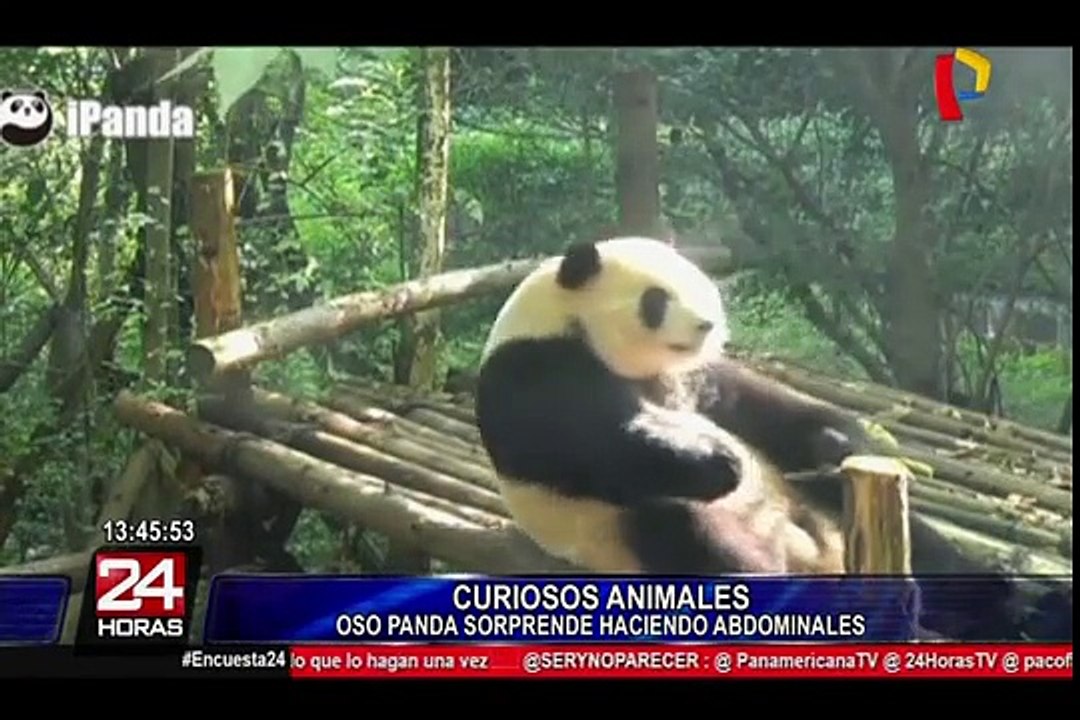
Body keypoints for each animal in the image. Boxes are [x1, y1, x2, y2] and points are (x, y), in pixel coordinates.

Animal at [474, 237, 1061, 640]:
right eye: (657, 299)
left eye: (704, 287)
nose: (707, 326)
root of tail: (817, 559)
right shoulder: (536, 367)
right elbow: (586, 445)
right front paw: (715, 461)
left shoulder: (698, 378)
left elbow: (760, 408)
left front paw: (835, 441)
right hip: (627, 533)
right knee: (686, 526)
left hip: (821, 506)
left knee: (927, 544)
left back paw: (1012, 605)